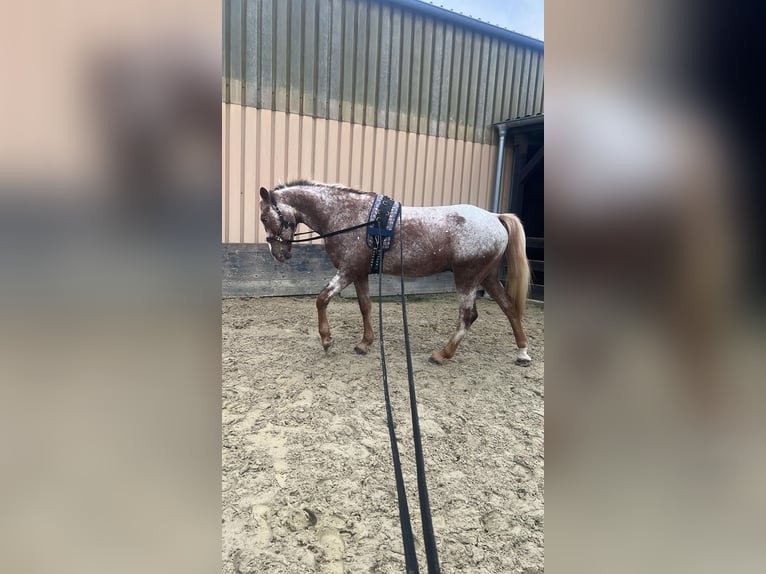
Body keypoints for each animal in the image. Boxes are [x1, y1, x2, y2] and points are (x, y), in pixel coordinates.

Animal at [258, 180, 532, 365]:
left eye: (264, 218)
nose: (278, 254)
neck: (347, 216)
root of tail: (495, 217)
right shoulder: (360, 273)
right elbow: (365, 306)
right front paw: (364, 343)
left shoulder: (347, 271)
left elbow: (322, 298)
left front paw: (326, 340)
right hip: (488, 277)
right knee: (509, 307)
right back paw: (522, 352)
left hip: (467, 278)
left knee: (468, 316)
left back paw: (442, 354)